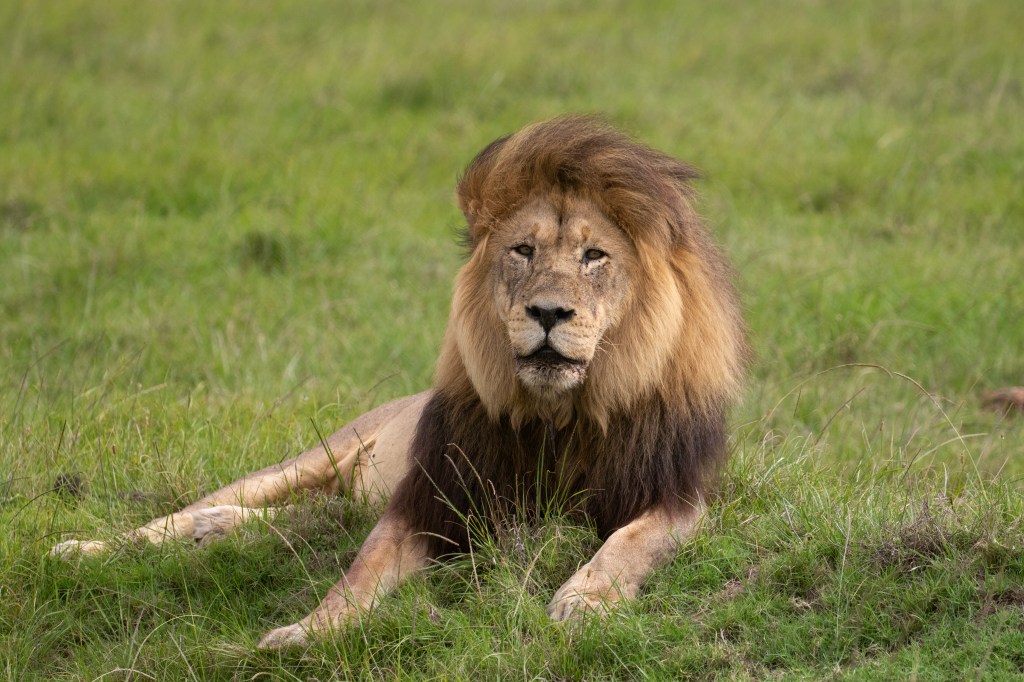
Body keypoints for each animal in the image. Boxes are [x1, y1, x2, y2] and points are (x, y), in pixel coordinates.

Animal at [52, 116, 749, 649]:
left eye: (594, 256)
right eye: (522, 251)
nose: (549, 312)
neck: (557, 416)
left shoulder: (677, 497)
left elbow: (630, 542)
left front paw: (585, 601)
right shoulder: (432, 495)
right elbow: (361, 570)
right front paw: (307, 632)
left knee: (315, 516)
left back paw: (218, 529)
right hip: (311, 457)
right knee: (207, 511)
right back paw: (92, 547)